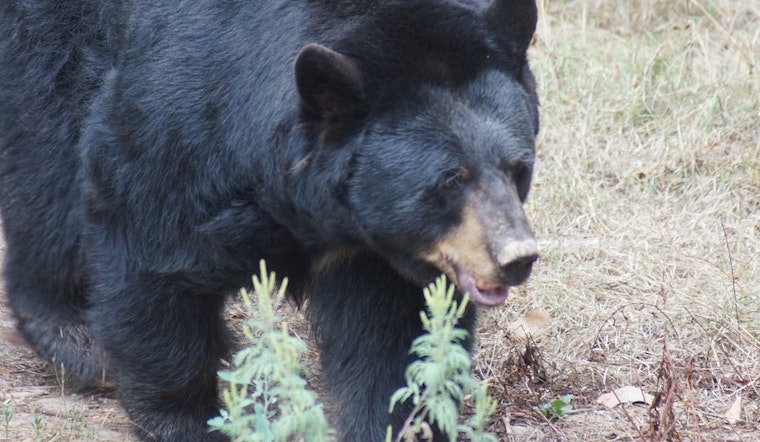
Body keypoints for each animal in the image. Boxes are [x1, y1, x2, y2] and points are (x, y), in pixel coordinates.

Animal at [0, 0, 540, 441]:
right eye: (449, 180)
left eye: (518, 167)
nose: (517, 258)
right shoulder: (184, 115)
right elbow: (149, 249)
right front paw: (191, 422)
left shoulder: (376, 249)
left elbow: (392, 334)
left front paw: (400, 424)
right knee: (46, 148)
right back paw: (74, 336)